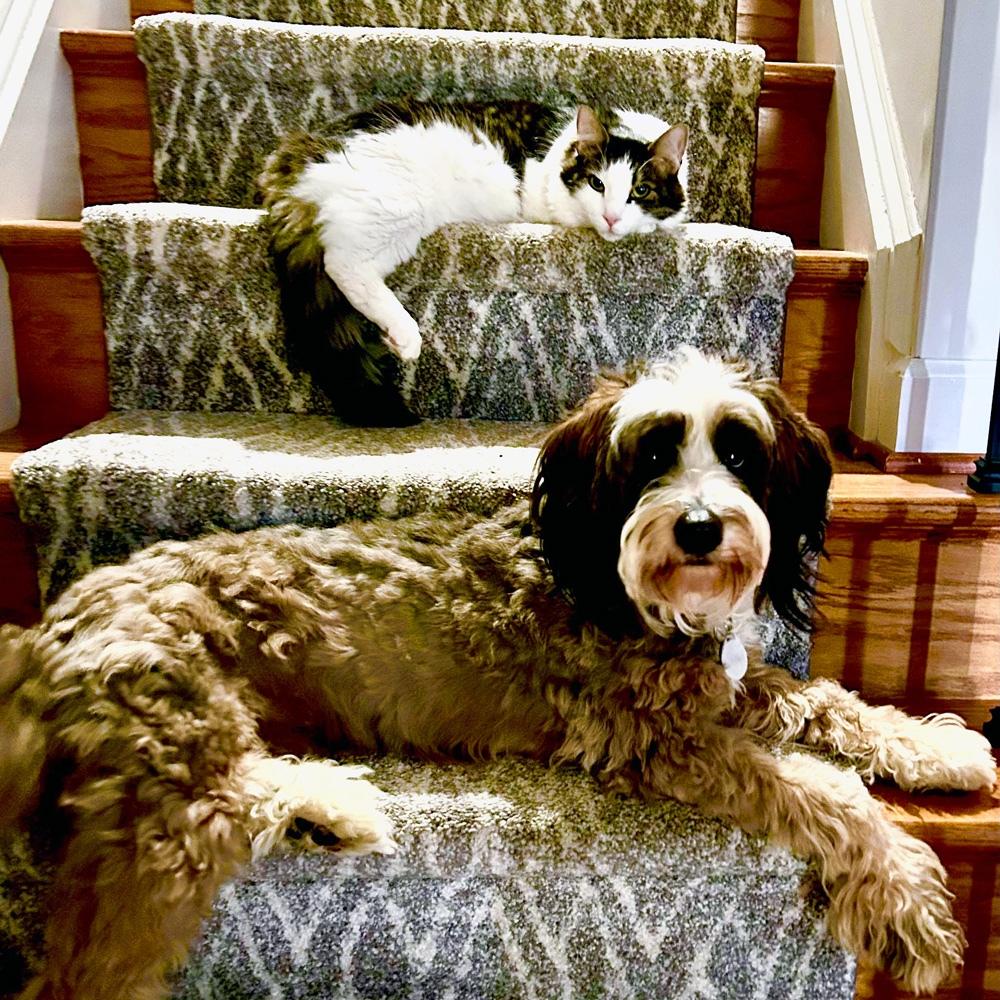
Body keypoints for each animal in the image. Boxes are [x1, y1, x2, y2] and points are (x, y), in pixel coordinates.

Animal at [0, 348, 996, 996]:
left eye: (740, 450)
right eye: (653, 450)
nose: (702, 528)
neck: (620, 586)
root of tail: (46, 632)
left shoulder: (723, 685)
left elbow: (825, 701)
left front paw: (937, 750)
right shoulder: (654, 739)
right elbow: (829, 794)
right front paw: (908, 899)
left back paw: (324, 804)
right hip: (169, 779)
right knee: (90, 957)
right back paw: (330, 805)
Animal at [260, 102, 688, 426]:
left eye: (640, 191)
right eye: (597, 184)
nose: (612, 218)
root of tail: (302, 148)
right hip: (397, 209)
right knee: (342, 262)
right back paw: (405, 334)